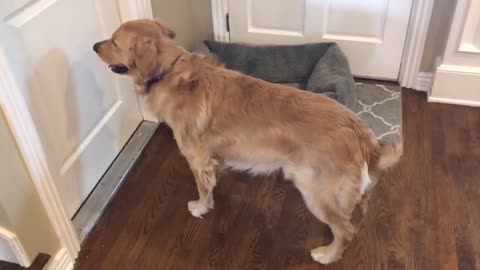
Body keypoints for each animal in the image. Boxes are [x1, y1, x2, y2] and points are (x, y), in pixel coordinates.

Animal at [93, 20, 402, 264]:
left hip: (314, 191)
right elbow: (213, 177)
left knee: (346, 230)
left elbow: (202, 188)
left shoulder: (195, 156)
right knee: (352, 219)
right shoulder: (210, 156)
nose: (95, 46)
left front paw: (201, 207)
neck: (168, 71)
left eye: (114, 41)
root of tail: (359, 130)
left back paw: (327, 254)